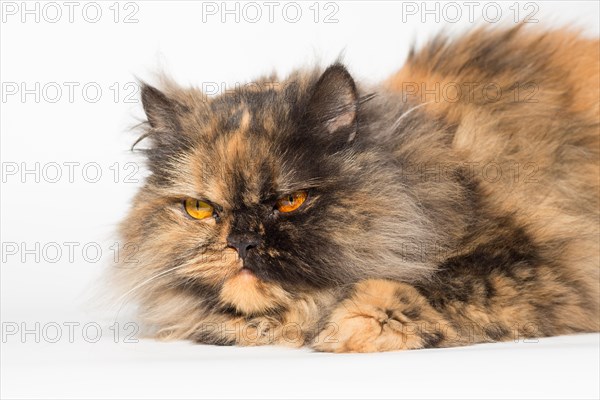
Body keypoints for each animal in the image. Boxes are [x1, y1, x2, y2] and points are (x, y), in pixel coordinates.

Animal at [112, 25, 600, 352]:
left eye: (290, 201)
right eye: (199, 208)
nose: (242, 241)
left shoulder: (540, 268)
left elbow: (428, 287)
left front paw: (349, 328)